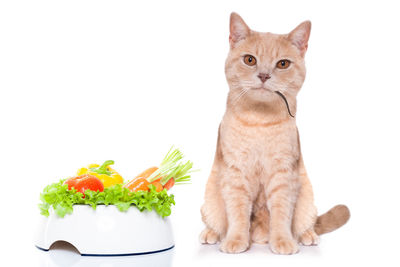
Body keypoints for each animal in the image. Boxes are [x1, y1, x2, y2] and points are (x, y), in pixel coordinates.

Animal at [200, 12, 350, 255]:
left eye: (283, 64)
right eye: (250, 60)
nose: (264, 75)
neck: (260, 121)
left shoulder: (283, 174)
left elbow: (281, 213)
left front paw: (282, 241)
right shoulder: (236, 174)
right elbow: (238, 213)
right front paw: (235, 240)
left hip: (307, 199)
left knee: (307, 224)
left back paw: (307, 236)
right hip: (209, 202)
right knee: (216, 223)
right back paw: (211, 234)